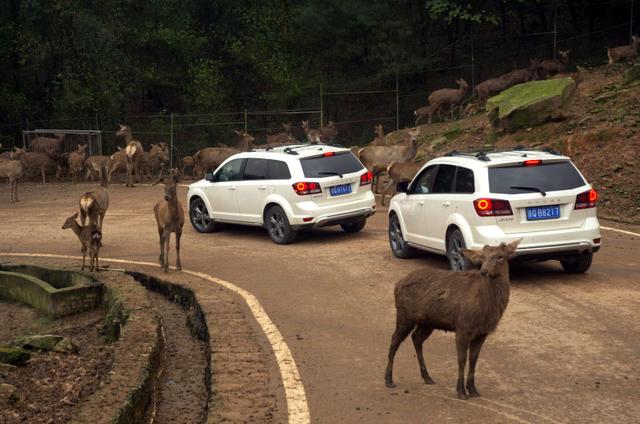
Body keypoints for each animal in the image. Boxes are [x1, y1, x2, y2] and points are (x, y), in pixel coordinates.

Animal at [382, 240, 524, 400]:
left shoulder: (482, 332)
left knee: (416, 337)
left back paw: (427, 377)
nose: (484, 271)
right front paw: (461, 391)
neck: (487, 308)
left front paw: (473, 389)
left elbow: (474, 359)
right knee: (394, 340)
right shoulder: (462, 327)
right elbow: (461, 359)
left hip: (427, 322)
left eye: (500, 256)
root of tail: (396, 284)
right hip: (404, 315)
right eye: (482, 257)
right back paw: (389, 379)